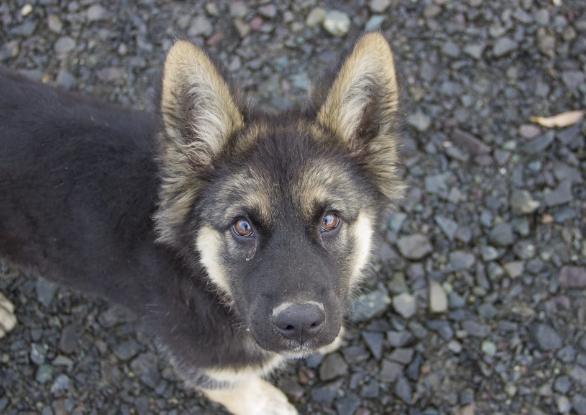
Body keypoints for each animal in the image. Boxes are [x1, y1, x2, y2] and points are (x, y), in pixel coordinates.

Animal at [0, 33, 402, 415]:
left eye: (330, 219)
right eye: (242, 226)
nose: (301, 323)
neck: (198, 273)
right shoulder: (202, 359)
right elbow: (232, 387)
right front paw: (265, 403)